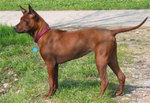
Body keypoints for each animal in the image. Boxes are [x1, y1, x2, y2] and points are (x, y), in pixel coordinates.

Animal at [14, 5, 148, 98]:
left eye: (24, 21)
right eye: (20, 19)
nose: (14, 27)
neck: (43, 34)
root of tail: (110, 31)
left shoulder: (49, 64)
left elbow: (51, 81)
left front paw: (48, 95)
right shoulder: (55, 65)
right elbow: (55, 81)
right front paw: (55, 93)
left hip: (100, 60)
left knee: (105, 80)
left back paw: (99, 96)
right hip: (111, 58)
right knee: (121, 75)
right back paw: (119, 93)